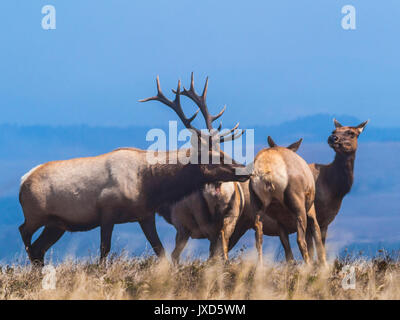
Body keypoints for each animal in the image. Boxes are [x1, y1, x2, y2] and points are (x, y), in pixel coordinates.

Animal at [20, 72, 250, 264]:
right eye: (214, 156)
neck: (149, 185)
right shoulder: (107, 210)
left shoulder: (145, 214)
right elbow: (104, 250)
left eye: (224, 151)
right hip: (34, 214)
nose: (245, 170)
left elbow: (160, 251)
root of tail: (24, 180)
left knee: (40, 249)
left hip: (56, 224)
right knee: (25, 235)